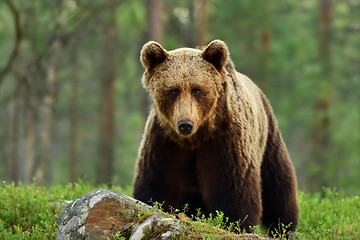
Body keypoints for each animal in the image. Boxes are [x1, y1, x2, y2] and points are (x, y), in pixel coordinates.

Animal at [134, 39, 300, 236]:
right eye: (172, 90)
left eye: (197, 90)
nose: (185, 124)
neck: (196, 138)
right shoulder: (165, 143)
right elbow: (157, 184)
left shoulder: (225, 142)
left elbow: (234, 191)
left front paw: (235, 223)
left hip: (268, 137)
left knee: (278, 184)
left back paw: (285, 227)